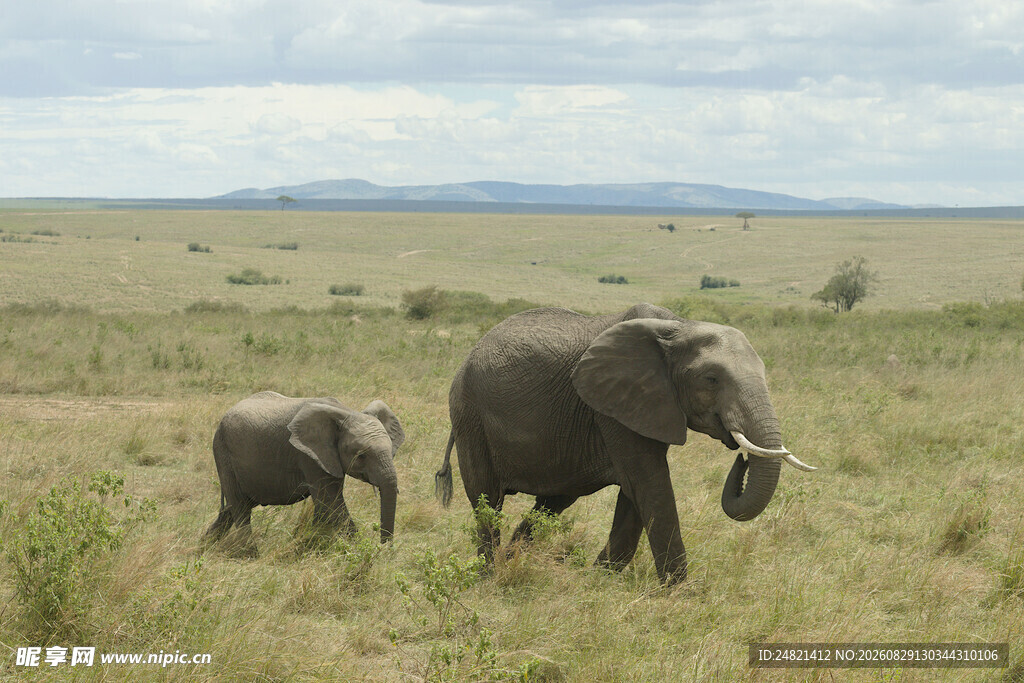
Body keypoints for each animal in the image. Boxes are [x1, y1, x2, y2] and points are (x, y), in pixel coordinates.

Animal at [203, 391, 405, 553]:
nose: (385, 550)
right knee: (240, 508)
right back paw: (251, 555)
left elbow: (325, 506)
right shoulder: (309, 455)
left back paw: (203, 547)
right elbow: (330, 503)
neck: (346, 412)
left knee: (231, 509)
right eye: (361, 455)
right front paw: (360, 549)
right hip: (223, 453)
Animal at [434, 303, 814, 584]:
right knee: (487, 498)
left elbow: (636, 492)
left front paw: (600, 578)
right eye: (711, 379)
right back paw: (489, 574)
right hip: (470, 416)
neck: (679, 326)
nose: (743, 458)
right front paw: (680, 592)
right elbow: (650, 483)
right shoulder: (613, 406)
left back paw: (511, 560)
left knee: (553, 501)